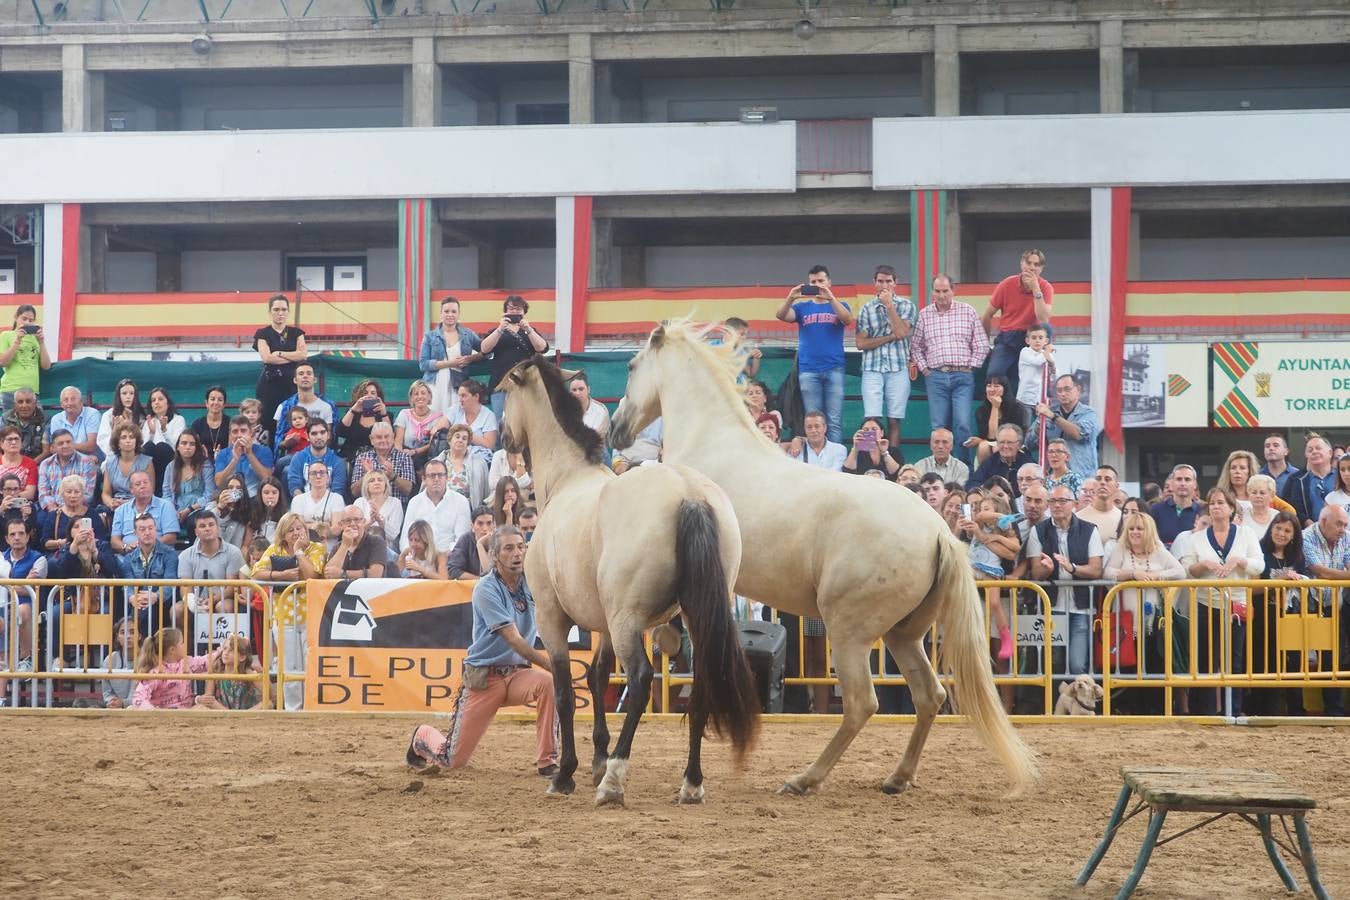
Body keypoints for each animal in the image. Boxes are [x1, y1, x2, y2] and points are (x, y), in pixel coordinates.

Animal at [502, 356, 766, 804]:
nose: (504, 436)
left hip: (628, 622)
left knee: (641, 682)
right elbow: (598, 677)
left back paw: (614, 781)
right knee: (702, 685)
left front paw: (567, 773)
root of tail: (689, 494)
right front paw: (596, 758)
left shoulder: (553, 619)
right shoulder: (605, 626)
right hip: (692, 618)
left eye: (504, 392)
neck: (569, 479)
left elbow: (565, 691)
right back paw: (691, 783)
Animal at [610, 322, 1031, 793]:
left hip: (849, 633)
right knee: (930, 695)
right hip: (903, 635)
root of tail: (938, 531)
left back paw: (804, 778)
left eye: (631, 366)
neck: (712, 444)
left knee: (862, 703)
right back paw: (896, 778)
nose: (615, 430)